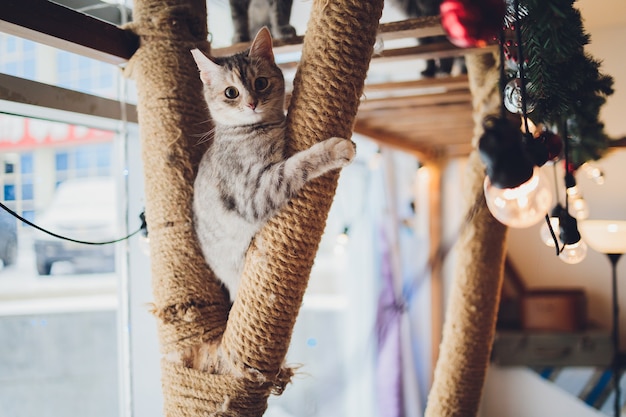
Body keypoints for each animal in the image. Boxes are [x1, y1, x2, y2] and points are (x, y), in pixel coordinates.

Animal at [190, 27, 354, 300]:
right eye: (231, 92)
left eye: (261, 83)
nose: (251, 103)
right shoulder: (254, 192)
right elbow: (298, 165)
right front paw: (336, 149)